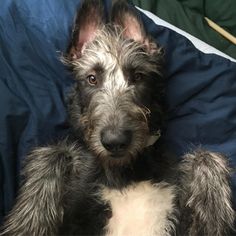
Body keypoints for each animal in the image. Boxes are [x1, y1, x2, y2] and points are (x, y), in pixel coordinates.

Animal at [0, 0, 234, 236]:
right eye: (92, 79)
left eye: (138, 76)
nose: (115, 142)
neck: (127, 170)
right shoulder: (77, 211)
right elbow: (53, 153)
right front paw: (29, 221)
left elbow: (206, 155)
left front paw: (213, 214)